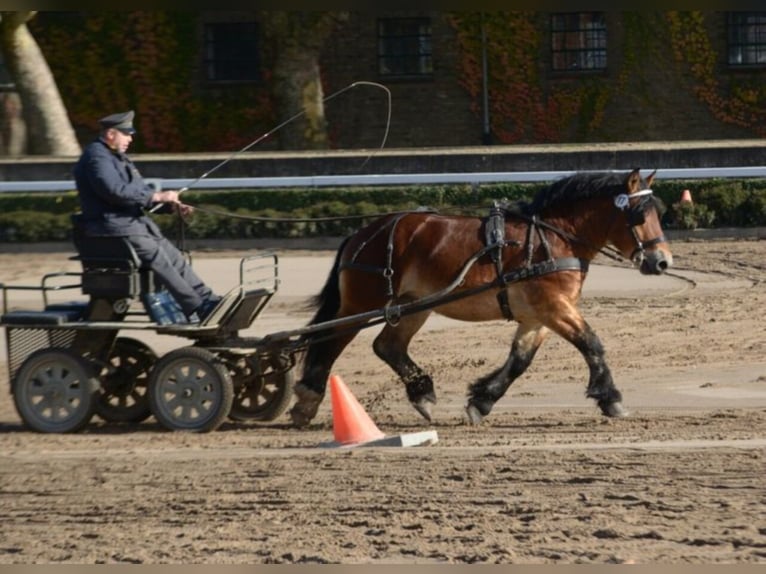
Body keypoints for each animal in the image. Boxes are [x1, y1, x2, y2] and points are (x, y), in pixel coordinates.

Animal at [288, 169, 672, 430]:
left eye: (658, 212)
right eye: (640, 215)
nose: (662, 261)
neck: (552, 238)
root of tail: (364, 232)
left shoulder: (538, 316)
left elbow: (519, 360)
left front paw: (482, 400)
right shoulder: (555, 308)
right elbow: (592, 343)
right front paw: (611, 398)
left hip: (412, 306)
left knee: (387, 346)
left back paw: (422, 393)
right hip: (360, 304)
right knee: (331, 340)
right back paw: (307, 397)